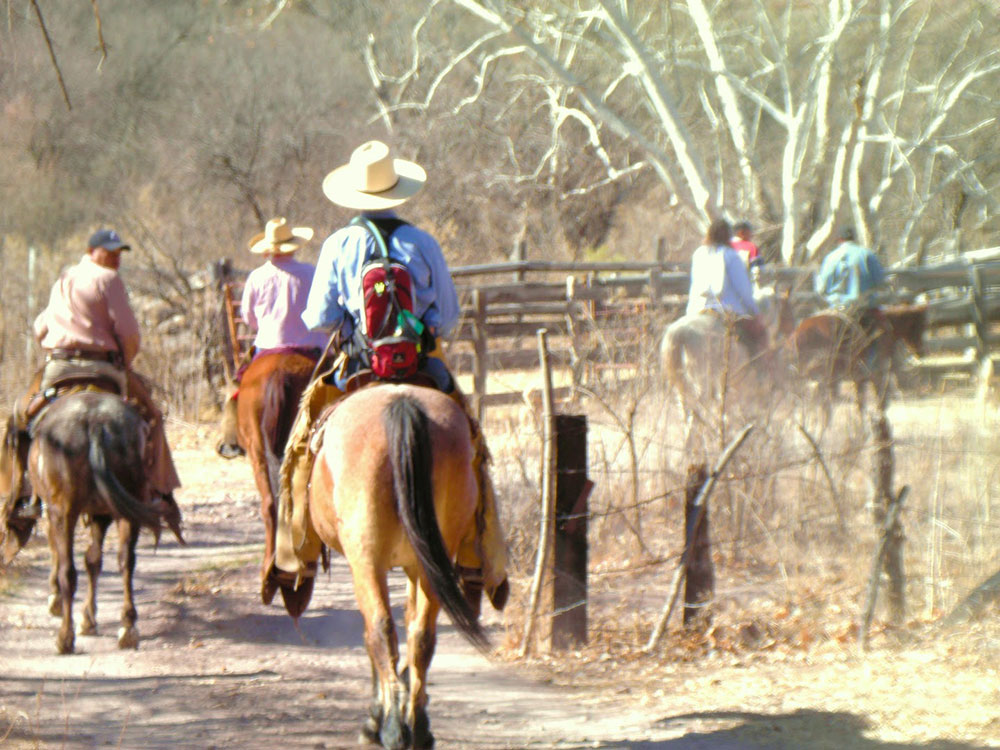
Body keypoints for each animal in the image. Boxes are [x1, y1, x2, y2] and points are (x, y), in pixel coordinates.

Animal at [308, 384, 488, 748]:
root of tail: (401, 404)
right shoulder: (416, 566)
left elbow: (372, 636)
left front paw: (375, 719)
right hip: (432, 559)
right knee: (422, 634)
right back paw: (417, 728)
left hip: (366, 559)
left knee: (380, 629)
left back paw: (391, 728)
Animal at [788, 302, 928, 414]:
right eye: (919, 327)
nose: (921, 352)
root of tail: (799, 333)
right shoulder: (871, 375)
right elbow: (870, 402)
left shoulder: (861, 377)